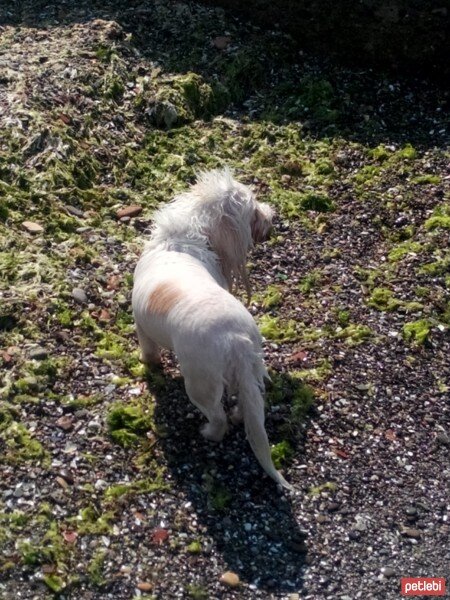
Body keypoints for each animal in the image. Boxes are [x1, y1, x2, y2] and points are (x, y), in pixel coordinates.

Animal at [132, 166, 294, 490]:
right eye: (254, 212)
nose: (272, 215)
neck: (186, 238)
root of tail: (235, 339)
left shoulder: (142, 328)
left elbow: (149, 353)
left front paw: (148, 365)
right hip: (251, 371)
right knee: (245, 407)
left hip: (199, 384)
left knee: (219, 419)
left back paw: (208, 433)